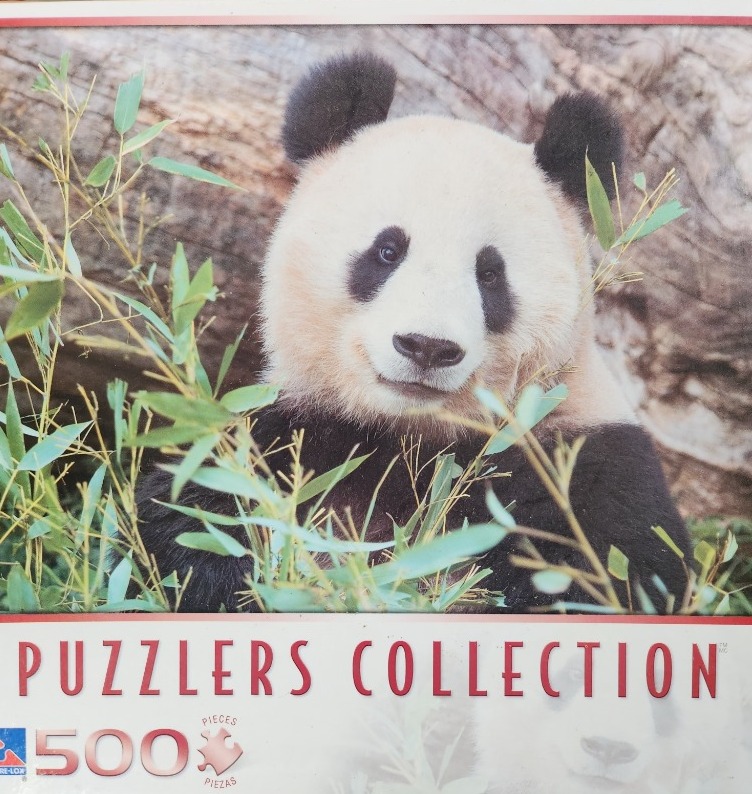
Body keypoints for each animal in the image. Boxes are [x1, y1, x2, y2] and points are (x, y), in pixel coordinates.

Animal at [135, 52, 691, 613]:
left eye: (489, 273)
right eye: (387, 250)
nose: (427, 347)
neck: (412, 437)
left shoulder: (577, 460)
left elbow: (608, 572)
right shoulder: (292, 434)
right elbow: (188, 522)